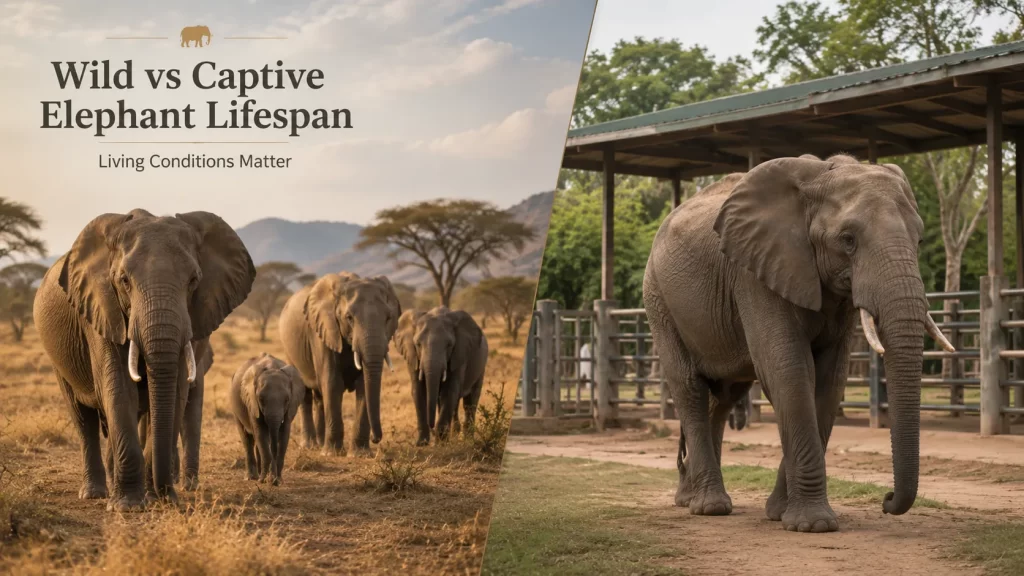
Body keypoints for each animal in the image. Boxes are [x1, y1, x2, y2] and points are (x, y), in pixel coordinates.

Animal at [230, 353, 304, 485]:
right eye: (261, 399)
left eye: (286, 400)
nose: (274, 480)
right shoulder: (252, 402)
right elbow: (261, 434)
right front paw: (264, 480)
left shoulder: (290, 408)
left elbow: (283, 435)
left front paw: (277, 480)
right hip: (236, 408)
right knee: (247, 440)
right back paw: (252, 477)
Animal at [278, 272, 401, 454]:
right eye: (349, 318)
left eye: (388, 318)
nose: (376, 438)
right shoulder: (323, 331)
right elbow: (332, 382)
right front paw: (332, 453)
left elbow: (363, 385)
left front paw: (360, 454)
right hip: (289, 350)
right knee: (305, 394)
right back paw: (310, 446)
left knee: (320, 398)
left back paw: (320, 443)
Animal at [394, 306, 488, 446]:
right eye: (418, 344)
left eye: (449, 345)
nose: (432, 426)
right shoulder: (412, 356)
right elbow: (418, 391)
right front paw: (422, 443)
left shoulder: (459, 354)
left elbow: (449, 391)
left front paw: (441, 444)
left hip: (481, 367)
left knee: (470, 402)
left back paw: (467, 440)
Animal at [642, 154, 954, 533]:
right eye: (848, 240)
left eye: (920, 240)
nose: (886, 499)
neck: (819, 178)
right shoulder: (754, 273)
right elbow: (789, 370)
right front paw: (813, 525)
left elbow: (830, 380)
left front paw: (781, 514)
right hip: (658, 298)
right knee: (690, 388)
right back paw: (709, 507)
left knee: (723, 398)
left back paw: (689, 499)